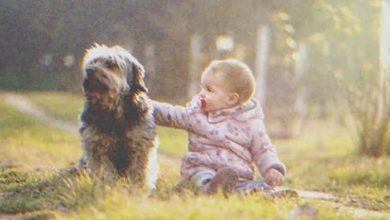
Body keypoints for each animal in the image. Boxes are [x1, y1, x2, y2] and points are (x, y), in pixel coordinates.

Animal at [78, 43, 158, 189]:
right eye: (93, 62)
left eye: (111, 63)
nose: (89, 70)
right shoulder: (97, 146)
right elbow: (104, 171)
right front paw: (107, 187)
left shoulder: (140, 144)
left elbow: (138, 171)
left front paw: (137, 188)